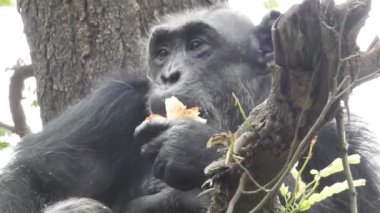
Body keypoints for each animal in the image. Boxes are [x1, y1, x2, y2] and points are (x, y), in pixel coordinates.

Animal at [0, 5, 380, 212]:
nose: (169, 74)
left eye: (197, 45)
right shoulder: (111, 104)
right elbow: (35, 177)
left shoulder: (331, 136)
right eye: (163, 52)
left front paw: (194, 148)